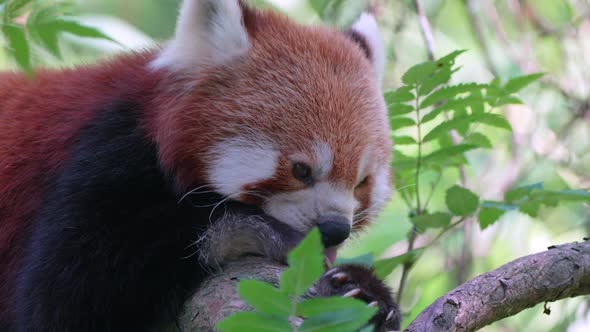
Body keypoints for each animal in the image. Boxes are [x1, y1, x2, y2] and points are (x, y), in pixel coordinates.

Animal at [0, 1, 398, 330]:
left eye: (361, 181)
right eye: (301, 170)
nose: (335, 230)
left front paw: (362, 291)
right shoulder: (105, 155)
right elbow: (63, 303)